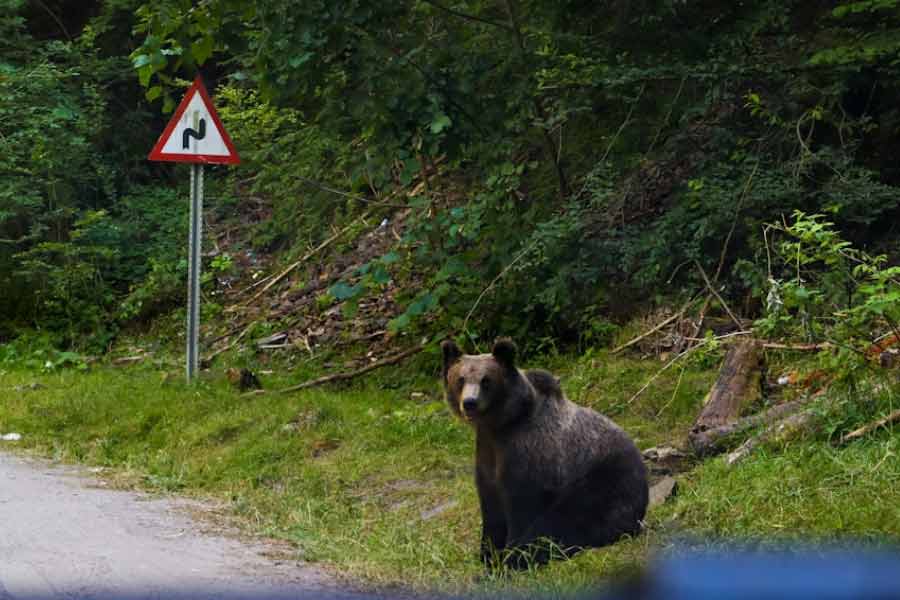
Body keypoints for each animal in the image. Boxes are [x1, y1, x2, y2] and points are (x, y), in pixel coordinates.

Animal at [442, 338, 649, 569]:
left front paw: (511, 558)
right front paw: (489, 556)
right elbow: (491, 509)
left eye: (486, 380)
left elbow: (522, 509)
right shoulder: (487, 454)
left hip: (603, 482)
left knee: (567, 520)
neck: (500, 424)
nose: (470, 402)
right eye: (460, 379)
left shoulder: (528, 454)